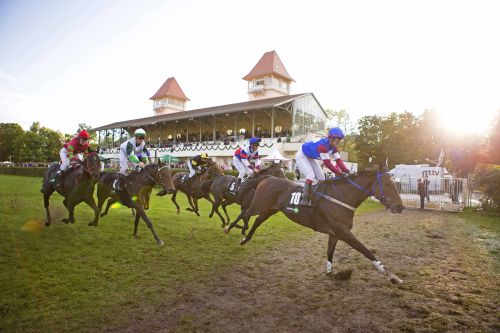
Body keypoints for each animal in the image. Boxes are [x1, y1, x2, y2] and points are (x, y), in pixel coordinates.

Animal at [225, 165, 404, 284]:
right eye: (387, 184)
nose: (400, 207)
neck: (341, 198)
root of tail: (268, 178)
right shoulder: (344, 232)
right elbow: (365, 250)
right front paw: (392, 275)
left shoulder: (335, 233)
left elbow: (330, 252)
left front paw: (330, 272)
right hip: (259, 205)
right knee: (244, 214)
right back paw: (229, 228)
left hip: (270, 210)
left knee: (256, 221)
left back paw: (244, 239)